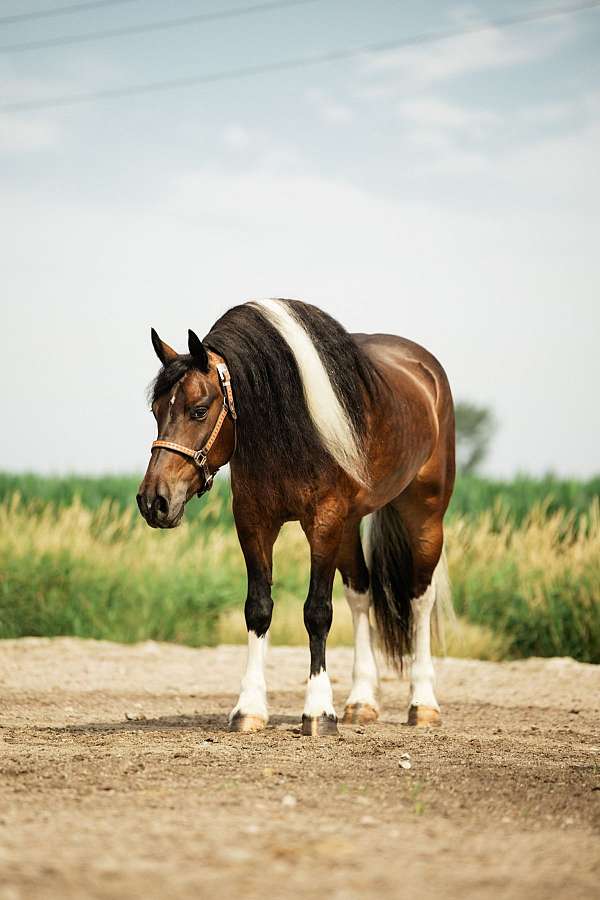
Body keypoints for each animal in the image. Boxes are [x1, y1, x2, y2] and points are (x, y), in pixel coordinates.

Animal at [137, 299, 455, 735]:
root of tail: (425, 370)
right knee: (361, 595)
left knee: (420, 598)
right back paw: (361, 700)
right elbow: (258, 608)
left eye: (199, 410)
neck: (289, 432)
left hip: (424, 515)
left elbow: (317, 612)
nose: (154, 501)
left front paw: (319, 711)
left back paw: (423, 704)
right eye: (155, 410)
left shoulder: (323, 523)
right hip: (350, 526)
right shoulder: (254, 523)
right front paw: (249, 708)